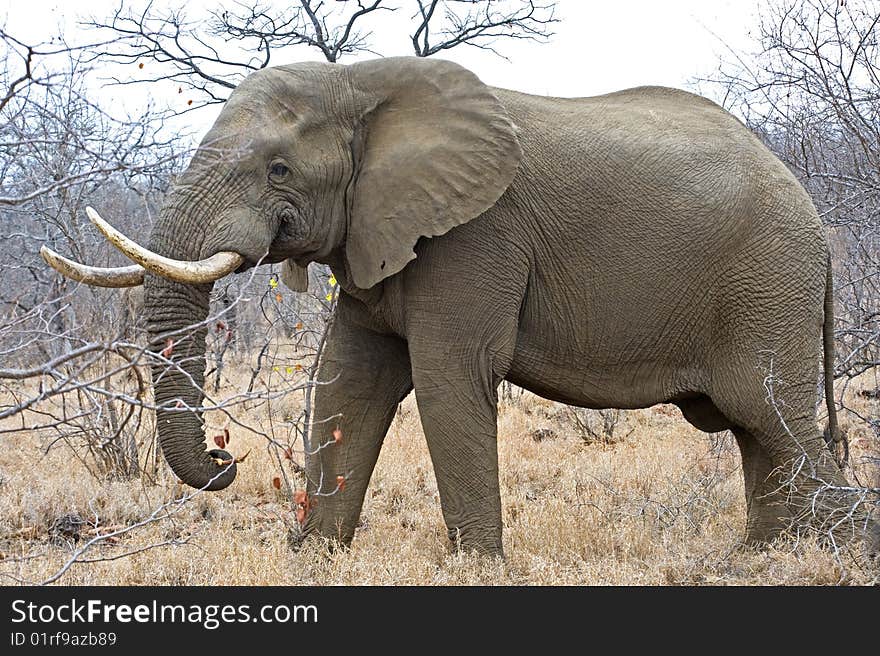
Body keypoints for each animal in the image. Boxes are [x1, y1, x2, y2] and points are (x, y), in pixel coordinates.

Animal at [41, 57, 872, 560]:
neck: (364, 82)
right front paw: (316, 558)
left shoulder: (476, 237)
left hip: (767, 282)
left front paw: (477, 565)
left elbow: (447, 378)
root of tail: (815, 220)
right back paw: (762, 557)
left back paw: (837, 552)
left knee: (773, 417)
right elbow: (348, 381)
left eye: (278, 169)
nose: (224, 459)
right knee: (756, 429)